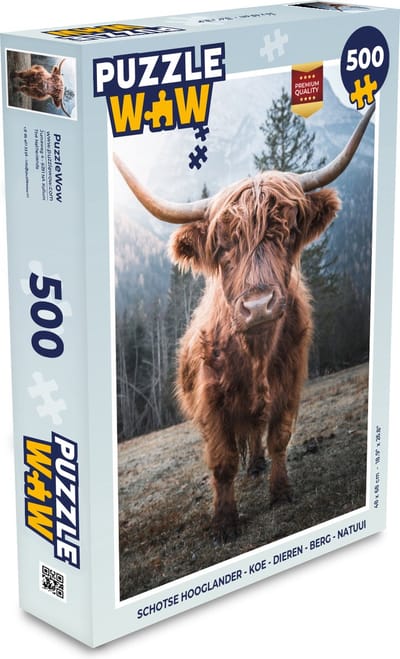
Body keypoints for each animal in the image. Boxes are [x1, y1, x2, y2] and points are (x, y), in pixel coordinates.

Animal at [114, 104, 374, 541]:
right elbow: (222, 462)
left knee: (255, 432)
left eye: (285, 232)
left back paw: (257, 465)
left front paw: (281, 491)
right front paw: (224, 522)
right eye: (222, 247)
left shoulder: (290, 382)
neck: (255, 354)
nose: (259, 306)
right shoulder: (211, 401)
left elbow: (279, 438)